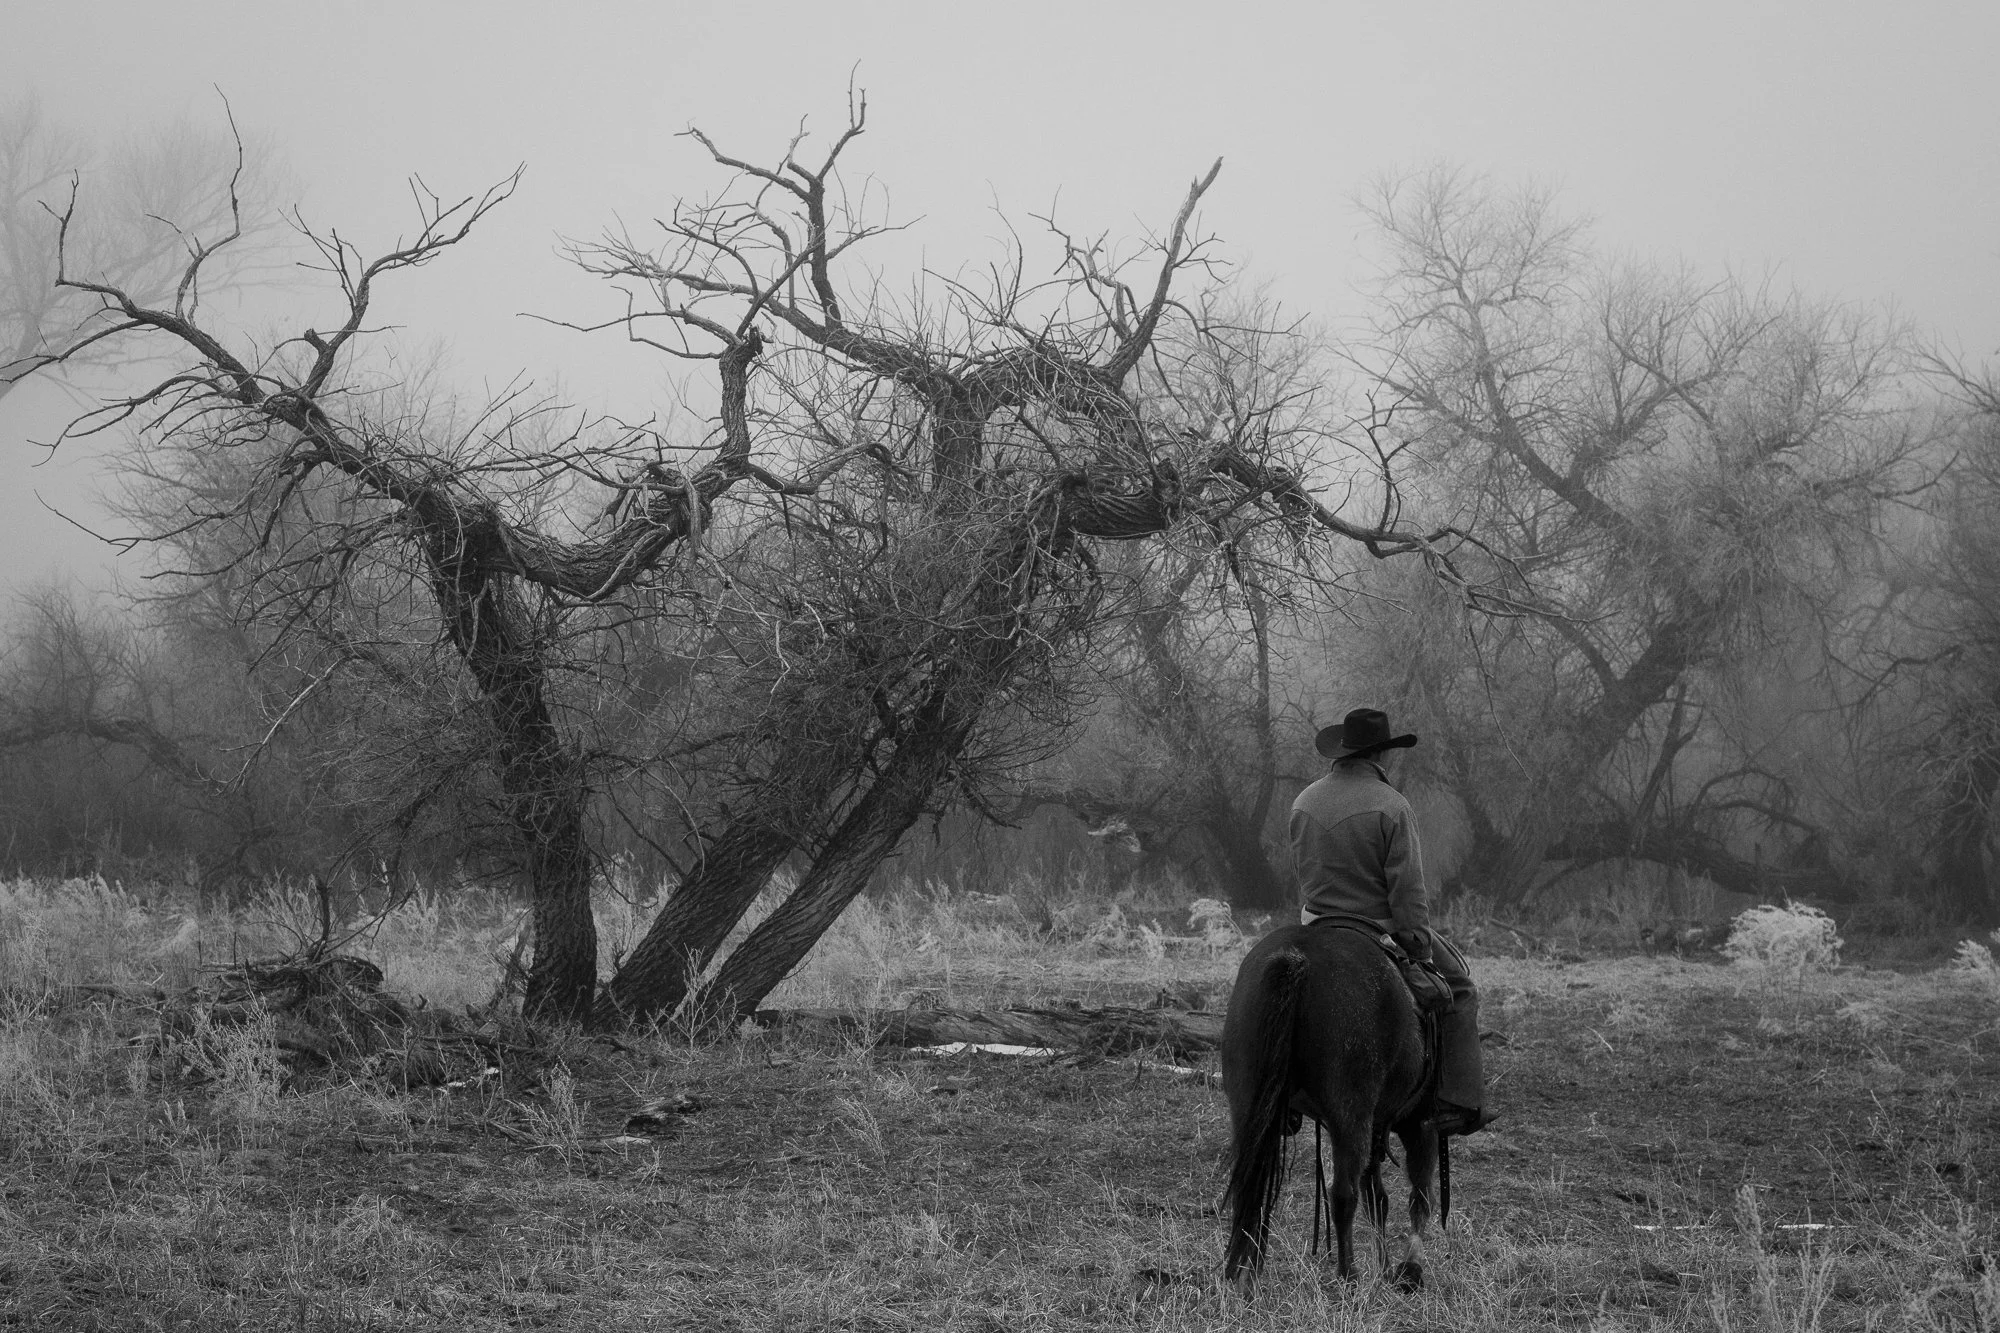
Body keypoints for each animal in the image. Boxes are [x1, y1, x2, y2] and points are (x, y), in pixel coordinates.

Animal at [1220, 920, 1441, 1290]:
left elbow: (1378, 1198)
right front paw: (1409, 1269)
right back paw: (1348, 1275)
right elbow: (1418, 1196)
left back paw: (1245, 1278)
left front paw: (1386, 1268)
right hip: (1350, 1117)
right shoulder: (1418, 1121)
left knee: (1250, 1188)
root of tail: (1297, 957)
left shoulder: (1378, 1128)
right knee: (1343, 1194)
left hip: (1249, 1108)